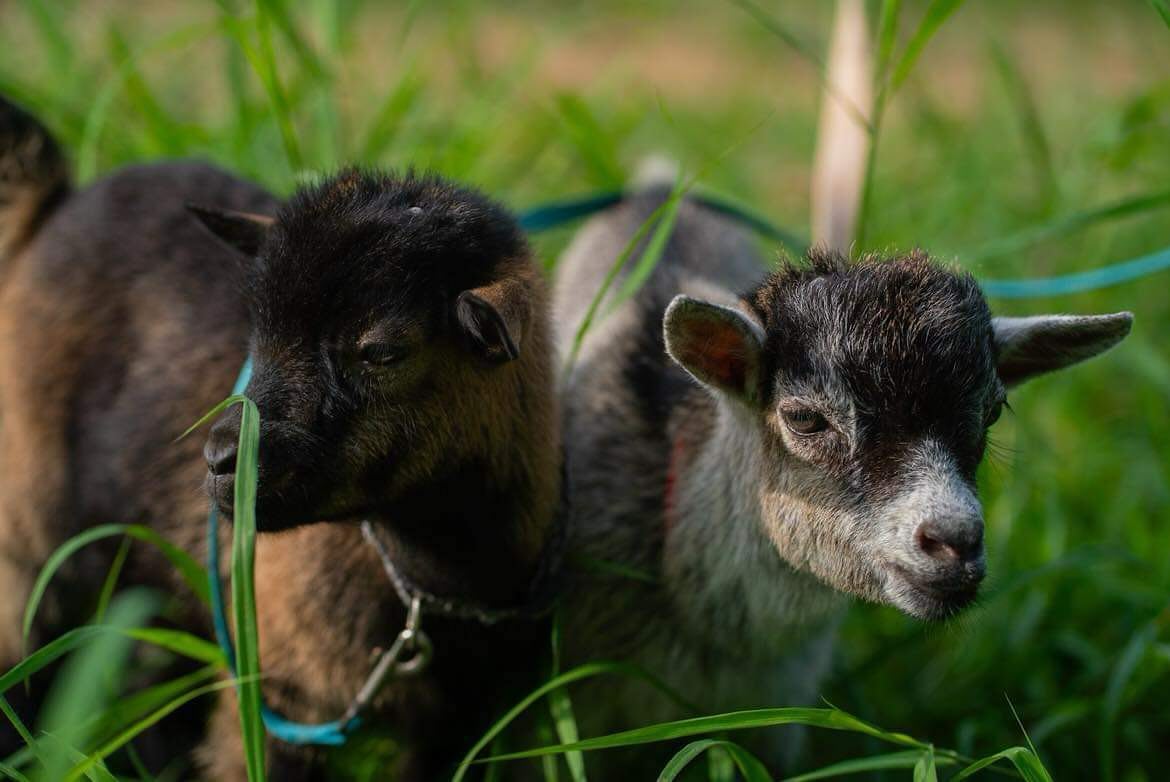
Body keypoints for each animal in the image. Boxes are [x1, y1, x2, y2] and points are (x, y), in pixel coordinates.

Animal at [0, 94, 560, 780]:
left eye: (381, 351)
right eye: (257, 332)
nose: (221, 460)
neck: (433, 585)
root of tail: (52, 209)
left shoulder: (471, 723)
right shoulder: (282, 701)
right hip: (27, 522)